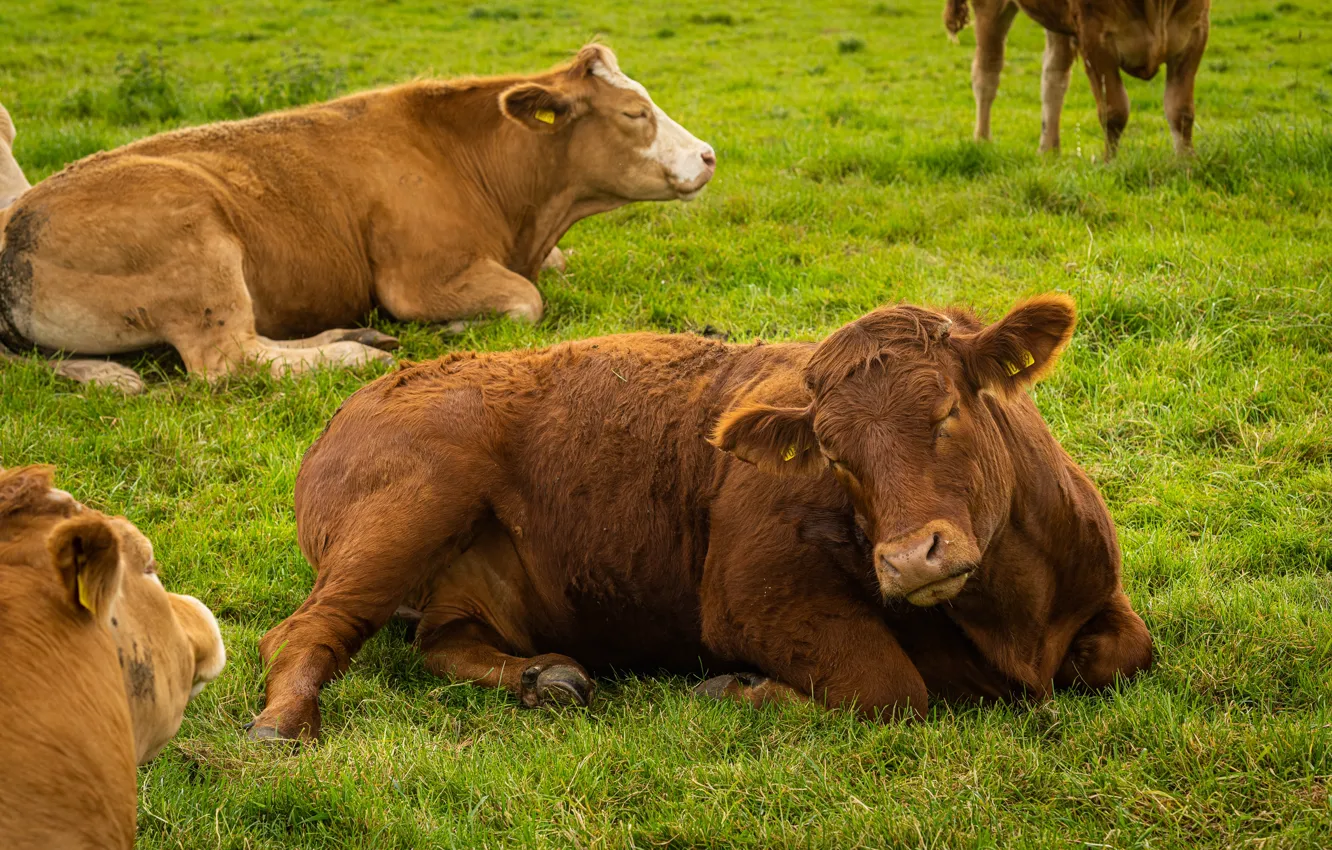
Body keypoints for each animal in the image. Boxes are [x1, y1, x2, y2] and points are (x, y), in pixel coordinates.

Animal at [0, 45, 715, 394]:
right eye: (634, 114)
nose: (708, 155)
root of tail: (16, 221)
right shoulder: (419, 279)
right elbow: (527, 302)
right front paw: (456, 328)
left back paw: (354, 336)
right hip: (198, 242)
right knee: (230, 360)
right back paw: (355, 353)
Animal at [246, 294, 1153, 741]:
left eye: (947, 412)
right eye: (836, 457)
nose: (910, 561)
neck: (1011, 619)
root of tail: (364, 396)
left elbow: (1128, 653)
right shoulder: (752, 596)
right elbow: (892, 689)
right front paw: (741, 691)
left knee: (443, 640)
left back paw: (546, 677)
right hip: (410, 507)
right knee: (302, 631)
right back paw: (281, 724)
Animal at [943, 0, 1211, 158]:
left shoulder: (1195, 32)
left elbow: (1180, 111)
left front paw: (1186, 163)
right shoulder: (1093, 37)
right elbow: (1114, 111)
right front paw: (1111, 164)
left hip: (1058, 21)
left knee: (1053, 76)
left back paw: (1049, 150)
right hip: (990, 7)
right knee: (986, 73)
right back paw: (982, 141)